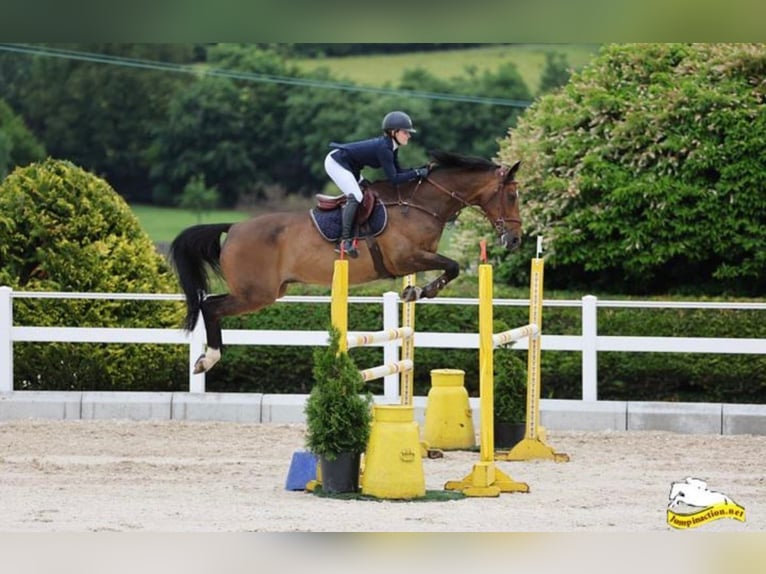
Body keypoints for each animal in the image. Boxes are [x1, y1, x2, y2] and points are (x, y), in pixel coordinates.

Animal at [169, 150, 522, 374]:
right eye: (512, 195)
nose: (516, 240)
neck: (419, 205)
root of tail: (233, 227)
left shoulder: (413, 260)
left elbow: (447, 267)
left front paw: (414, 292)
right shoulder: (404, 258)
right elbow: (451, 265)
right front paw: (420, 292)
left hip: (264, 292)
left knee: (211, 304)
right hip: (255, 294)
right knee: (210, 306)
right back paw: (208, 359)